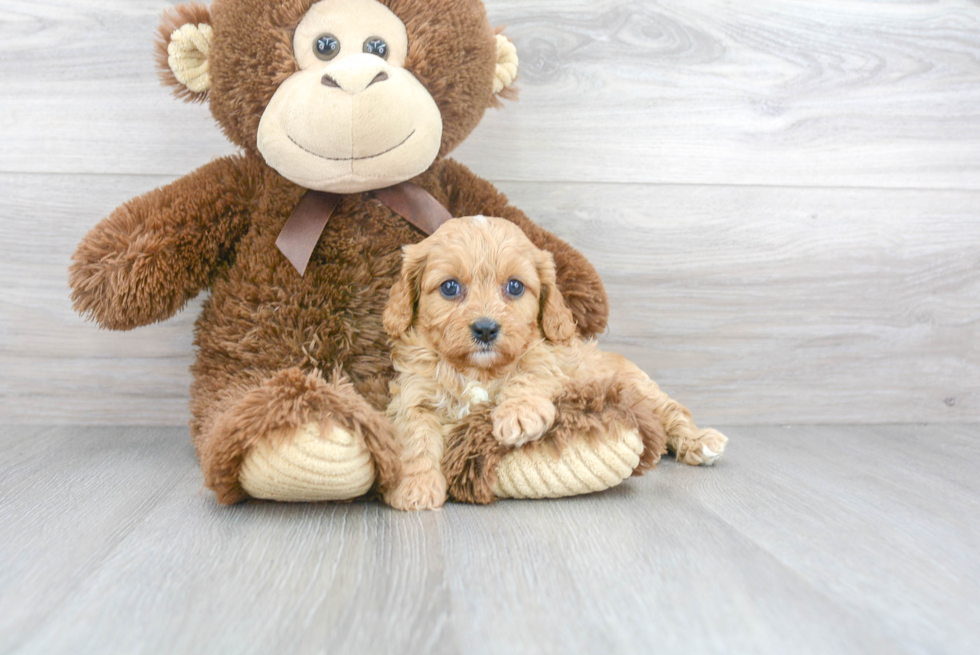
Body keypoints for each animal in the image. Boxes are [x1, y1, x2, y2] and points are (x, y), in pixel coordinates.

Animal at [382, 218, 728, 510]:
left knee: (674, 413)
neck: (479, 371)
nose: (485, 329)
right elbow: (415, 438)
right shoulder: (414, 396)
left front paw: (519, 414)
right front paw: (417, 487)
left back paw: (700, 442)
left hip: (642, 389)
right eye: (450, 287)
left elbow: (530, 372)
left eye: (515, 286)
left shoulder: (554, 362)